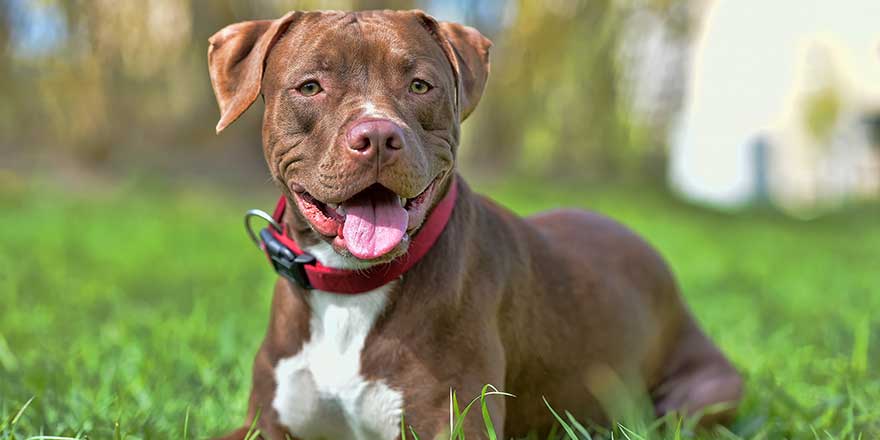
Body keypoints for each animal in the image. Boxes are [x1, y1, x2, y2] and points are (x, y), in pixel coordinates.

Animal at [208, 8, 744, 438]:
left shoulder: (454, 424)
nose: (378, 135)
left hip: (704, 391)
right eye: (310, 87)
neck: (351, 289)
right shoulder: (264, 424)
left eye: (419, 85)